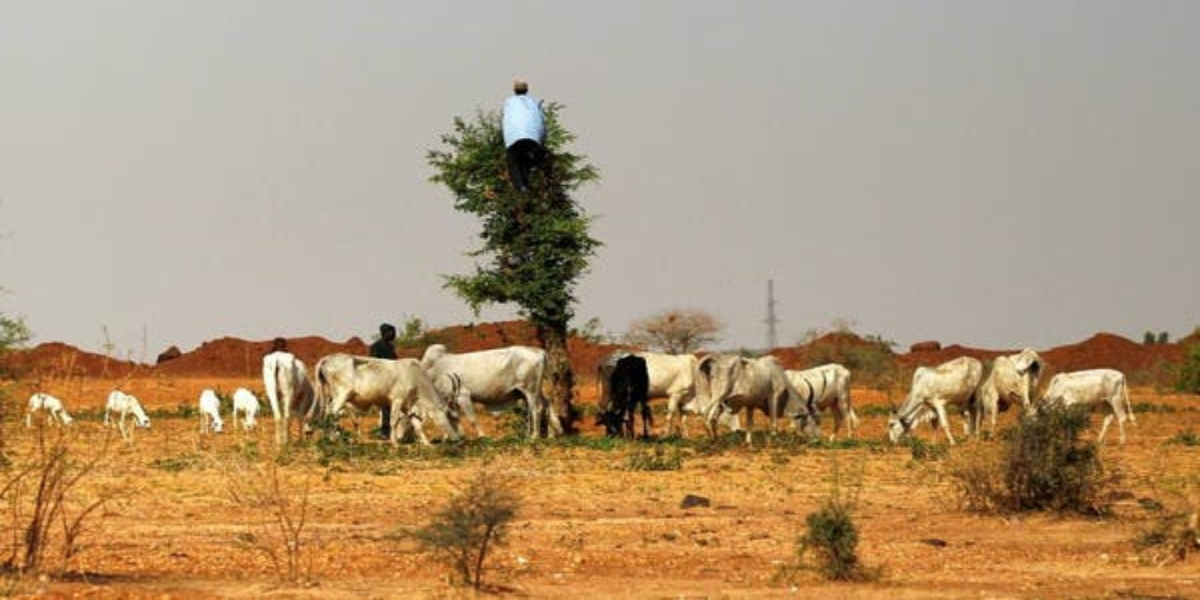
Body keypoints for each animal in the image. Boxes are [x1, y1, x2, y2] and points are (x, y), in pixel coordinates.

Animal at [314, 350, 463, 446]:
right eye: (452, 417)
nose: (458, 440)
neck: (416, 377)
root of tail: (327, 359)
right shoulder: (397, 400)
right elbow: (393, 421)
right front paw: (395, 443)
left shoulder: (408, 405)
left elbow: (417, 425)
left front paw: (427, 444)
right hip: (342, 395)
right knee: (331, 414)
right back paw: (333, 439)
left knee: (328, 414)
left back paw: (329, 438)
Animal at [420, 345, 559, 439]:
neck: (437, 371)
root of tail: (540, 352)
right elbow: (454, 417)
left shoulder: (462, 396)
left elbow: (472, 419)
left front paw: (482, 436)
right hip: (532, 391)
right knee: (546, 404)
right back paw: (550, 435)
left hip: (530, 390)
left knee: (536, 409)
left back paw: (534, 436)